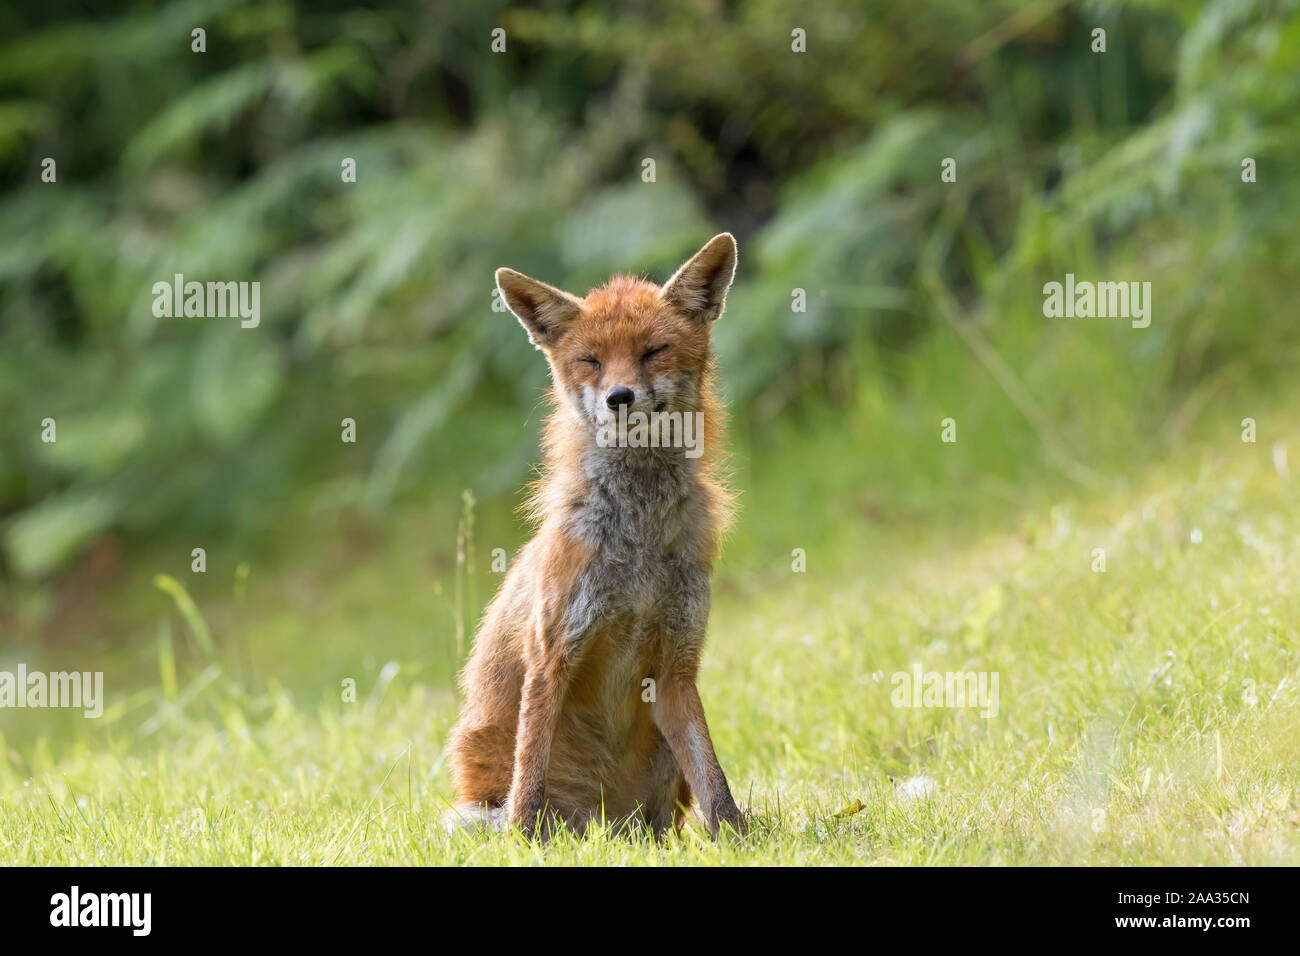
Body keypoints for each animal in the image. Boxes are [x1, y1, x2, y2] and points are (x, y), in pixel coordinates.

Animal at [447, 234, 748, 837]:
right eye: (591, 361)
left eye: (653, 351)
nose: (619, 397)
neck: (640, 532)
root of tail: (608, 823)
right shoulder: (552, 651)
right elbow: (528, 778)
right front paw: (524, 846)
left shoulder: (677, 668)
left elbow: (715, 783)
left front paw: (742, 842)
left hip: (657, 782)